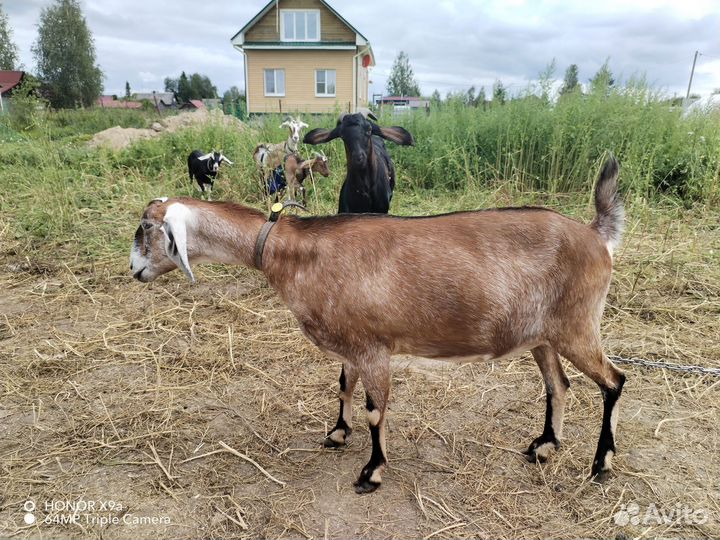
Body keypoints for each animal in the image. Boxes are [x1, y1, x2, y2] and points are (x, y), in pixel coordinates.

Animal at [130, 156, 626, 494]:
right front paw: (337, 433)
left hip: (579, 324)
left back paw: (601, 464)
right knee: (558, 385)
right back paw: (544, 446)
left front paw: (372, 471)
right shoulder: (351, 342)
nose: (134, 270)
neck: (292, 254)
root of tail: (596, 235)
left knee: (614, 381)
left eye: (145, 228)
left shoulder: (373, 347)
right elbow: (343, 386)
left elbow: (375, 409)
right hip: (544, 334)